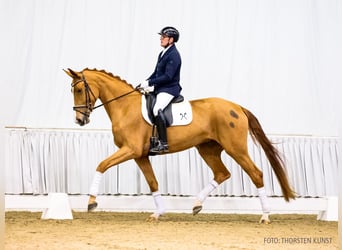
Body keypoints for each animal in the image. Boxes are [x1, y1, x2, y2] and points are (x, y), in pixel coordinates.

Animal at [65, 68, 296, 223]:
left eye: (79, 89)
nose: (79, 120)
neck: (125, 107)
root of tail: (237, 107)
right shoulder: (140, 155)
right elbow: (153, 182)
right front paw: (158, 213)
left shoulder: (130, 150)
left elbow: (101, 165)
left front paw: (91, 201)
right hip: (207, 149)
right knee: (222, 173)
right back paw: (196, 205)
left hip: (236, 149)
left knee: (256, 174)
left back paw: (265, 216)